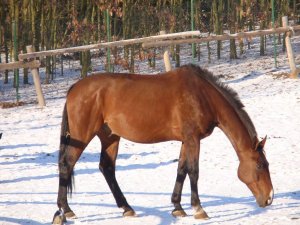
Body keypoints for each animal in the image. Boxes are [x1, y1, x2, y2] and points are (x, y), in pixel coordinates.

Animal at [52, 64, 274, 224]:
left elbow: (181, 170)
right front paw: (198, 208)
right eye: (260, 165)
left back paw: (126, 208)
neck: (203, 95)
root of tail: (74, 88)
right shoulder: (193, 139)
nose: (269, 198)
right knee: (67, 164)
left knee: (107, 168)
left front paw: (178, 207)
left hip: (110, 137)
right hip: (83, 136)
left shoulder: (186, 140)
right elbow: (193, 171)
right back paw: (67, 210)